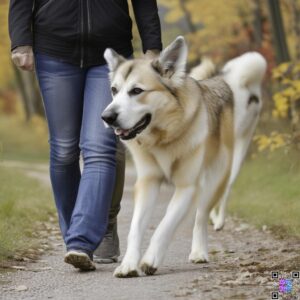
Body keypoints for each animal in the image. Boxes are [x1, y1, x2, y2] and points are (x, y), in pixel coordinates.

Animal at [101, 36, 268, 278]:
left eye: (136, 90)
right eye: (114, 90)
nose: (106, 116)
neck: (164, 136)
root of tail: (219, 82)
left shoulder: (188, 186)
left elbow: (165, 225)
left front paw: (150, 259)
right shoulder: (148, 182)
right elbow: (135, 227)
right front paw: (129, 264)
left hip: (218, 176)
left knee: (202, 215)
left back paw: (199, 250)